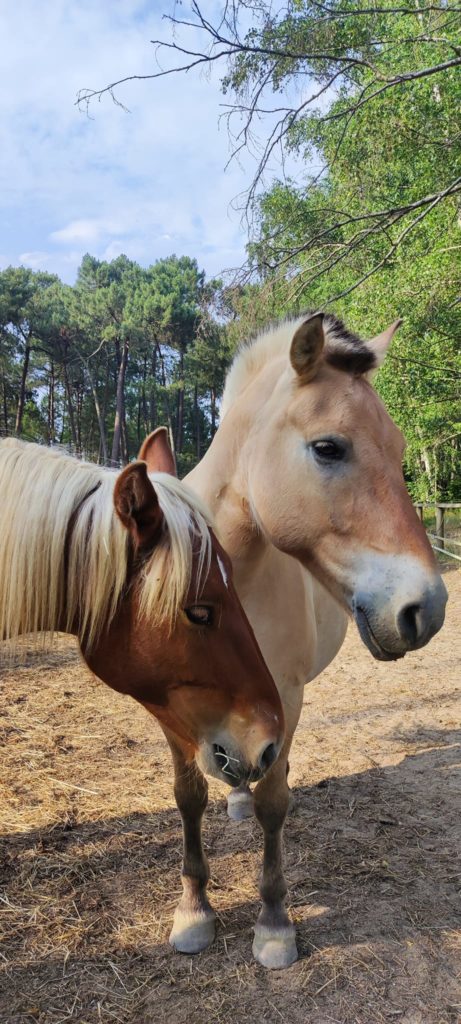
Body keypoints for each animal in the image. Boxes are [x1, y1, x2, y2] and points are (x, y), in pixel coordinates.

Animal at [186, 311, 446, 966]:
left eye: (400, 450)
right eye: (328, 447)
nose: (428, 609)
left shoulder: (286, 697)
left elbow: (275, 805)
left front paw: (275, 925)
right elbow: (187, 796)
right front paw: (193, 913)